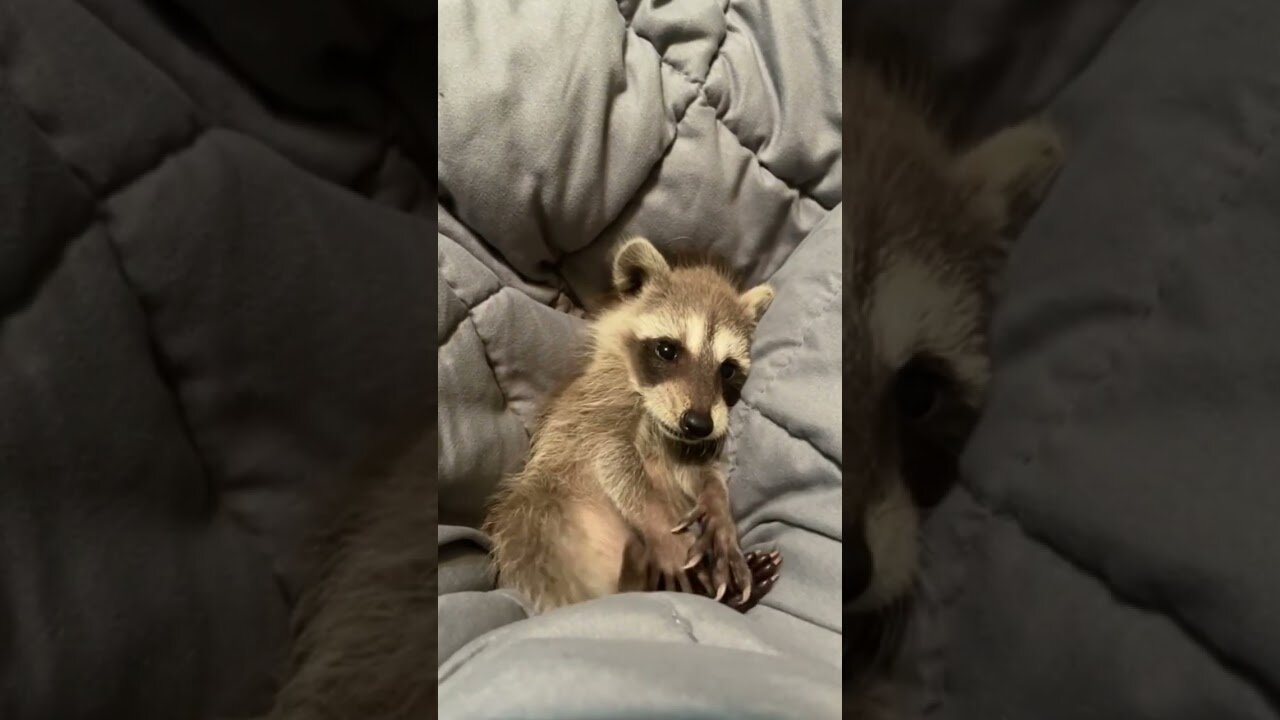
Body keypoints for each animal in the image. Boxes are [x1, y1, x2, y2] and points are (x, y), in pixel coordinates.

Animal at [483, 237, 781, 614]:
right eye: (667, 350)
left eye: (727, 369)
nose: (698, 424)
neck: (654, 411)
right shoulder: (595, 408)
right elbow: (611, 458)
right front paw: (660, 523)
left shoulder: (681, 441)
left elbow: (699, 472)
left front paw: (718, 508)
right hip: (536, 516)